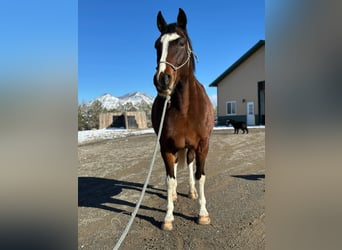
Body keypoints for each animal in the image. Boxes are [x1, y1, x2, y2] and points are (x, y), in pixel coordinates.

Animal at [152, 8, 214, 230]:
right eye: (157, 45)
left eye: (181, 42)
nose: (162, 80)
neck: (185, 109)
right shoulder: (166, 147)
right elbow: (170, 179)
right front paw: (168, 217)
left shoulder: (202, 145)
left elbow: (200, 176)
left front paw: (203, 213)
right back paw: (174, 195)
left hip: (191, 148)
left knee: (189, 165)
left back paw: (192, 191)